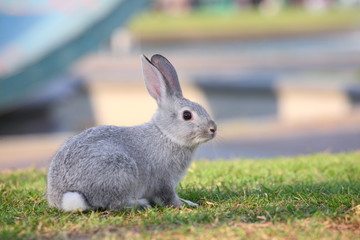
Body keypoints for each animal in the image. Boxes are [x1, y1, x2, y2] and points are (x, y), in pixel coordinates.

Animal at [47, 54, 217, 210]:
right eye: (187, 115)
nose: (213, 129)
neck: (166, 134)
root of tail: (64, 197)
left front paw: (189, 202)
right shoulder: (163, 181)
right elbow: (168, 197)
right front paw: (184, 205)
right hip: (119, 171)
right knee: (115, 205)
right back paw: (140, 204)